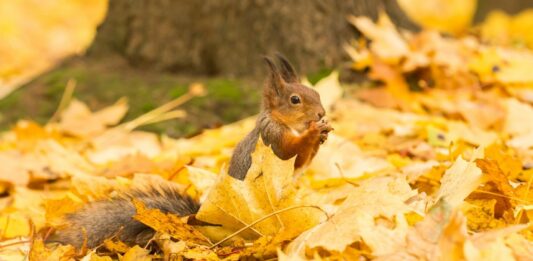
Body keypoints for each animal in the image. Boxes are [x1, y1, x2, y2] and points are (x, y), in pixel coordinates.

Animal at [46, 53, 328, 249]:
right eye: (295, 100)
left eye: (315, 92)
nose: (321, 113)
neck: (283, 122)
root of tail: (203, 221)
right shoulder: (271, 140)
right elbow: (292, 153)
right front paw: (314, 133)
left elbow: (304, 161)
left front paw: (321, 134)